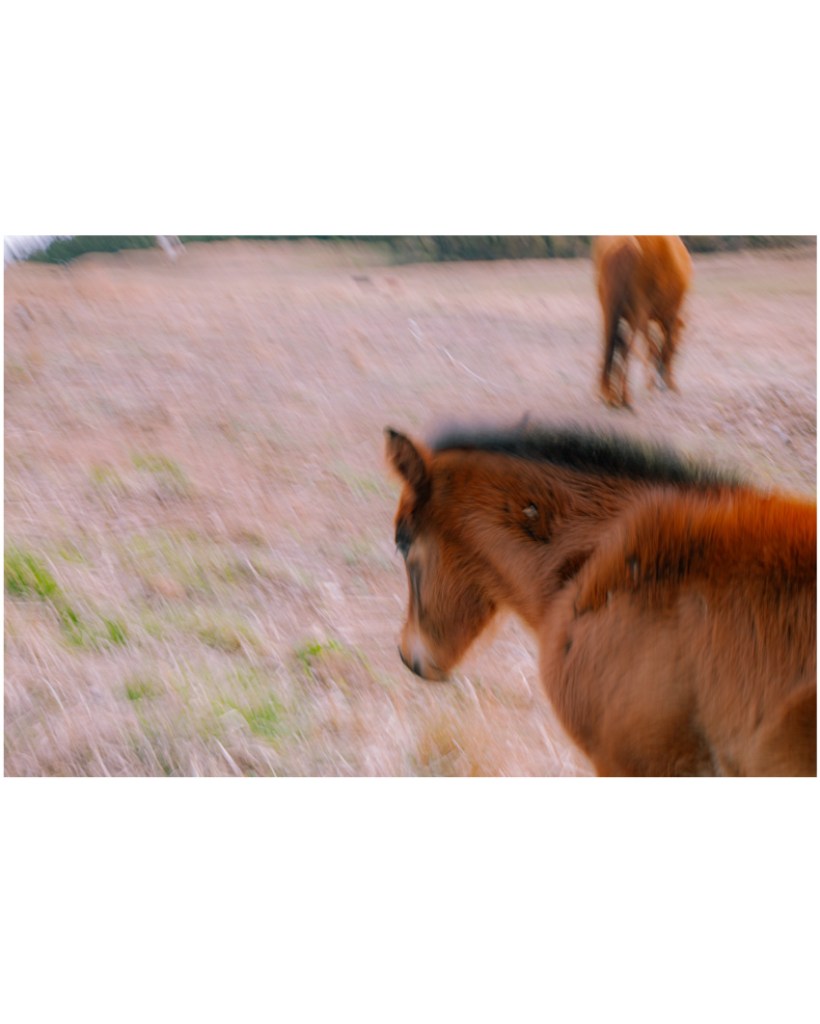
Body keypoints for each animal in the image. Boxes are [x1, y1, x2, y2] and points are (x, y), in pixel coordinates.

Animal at [593, 236, 693, 408]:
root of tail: (627, 245)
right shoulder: (668, 316)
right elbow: (663, 346)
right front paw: (664, 382)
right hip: (637, 310)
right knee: (629, 348)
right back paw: (625, 398)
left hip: (610, 308)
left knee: (611, 345)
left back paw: (610, 394)